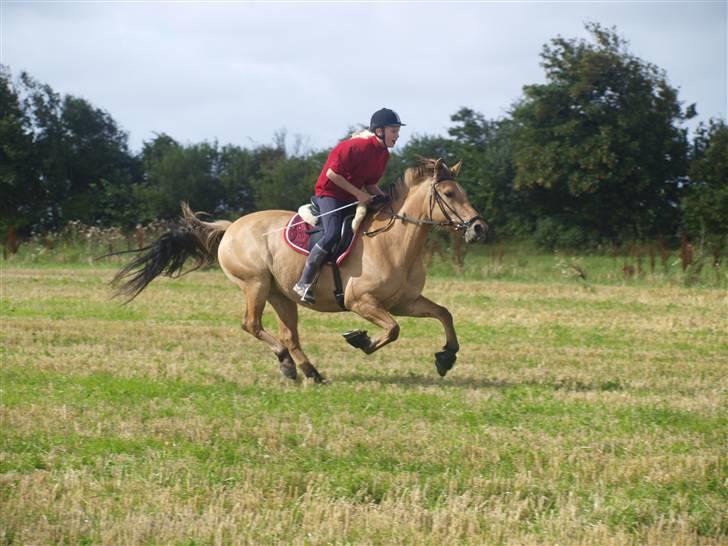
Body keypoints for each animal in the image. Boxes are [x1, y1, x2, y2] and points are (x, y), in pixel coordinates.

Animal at [114, 155, 486, 380]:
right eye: (448, 193)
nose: (479, 228)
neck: (394, 242)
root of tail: (231, 228)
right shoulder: (362, 302)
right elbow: (393, 330)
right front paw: (360, 340)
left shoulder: (403, 302)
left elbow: (444, 313)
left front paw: (446, 357)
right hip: (256, 284)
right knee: (253, 324)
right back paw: (289, 363)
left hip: (281, 295)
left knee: (288, 335)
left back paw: (307, 371)